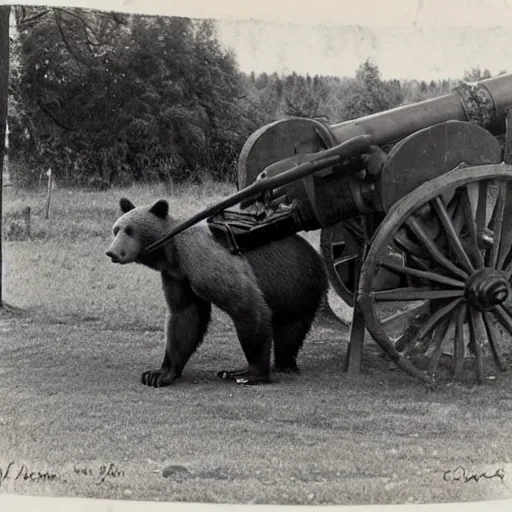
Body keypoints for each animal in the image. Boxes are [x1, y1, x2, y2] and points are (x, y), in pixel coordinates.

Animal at [105, 197, 328, 388]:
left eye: (130, 230)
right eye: (116, 229)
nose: (112, 252)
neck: (173, 255)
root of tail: (316, 254)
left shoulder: (204, 260)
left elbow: (245, 303)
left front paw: (253, 373)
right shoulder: (176, 278)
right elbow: (184, 316)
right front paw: (158, 374)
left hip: (297, 282)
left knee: (291, 328)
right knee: (290, 332)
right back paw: (284, 363)